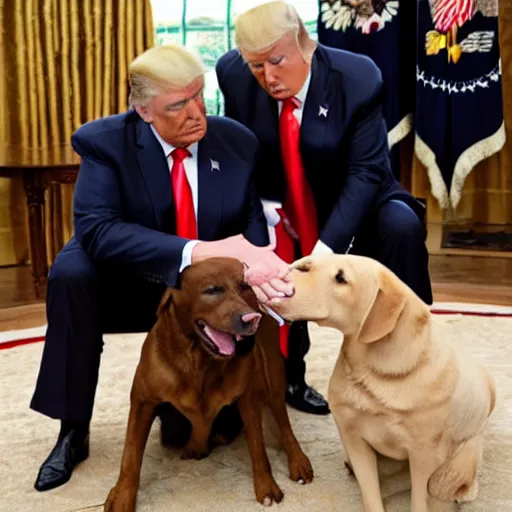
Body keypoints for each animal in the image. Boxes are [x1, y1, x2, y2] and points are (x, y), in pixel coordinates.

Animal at [104, 258, 312, 510]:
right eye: (212, 290)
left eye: (245, 287)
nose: (252, 319)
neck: (198, 360)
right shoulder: (142, 403)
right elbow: (130, 455)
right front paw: (122, 496)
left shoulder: (247, 401)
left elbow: (258, 448)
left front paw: (266, 485)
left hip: (273, 375)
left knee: (284, 425)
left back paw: (298, 459)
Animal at [272, 254, 496, 510]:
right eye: (307, 267)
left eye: (341, 277)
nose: (284, 283)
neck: (378, 372)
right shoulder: (353, 437)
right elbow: (370, 493)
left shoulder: (423, 454)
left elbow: (419, 500)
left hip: (462, 456)